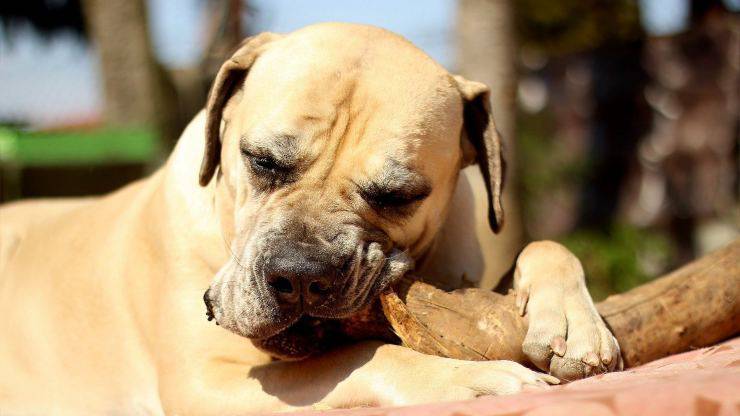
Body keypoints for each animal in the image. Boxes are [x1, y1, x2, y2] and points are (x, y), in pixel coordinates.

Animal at [0, 24, 620, 414]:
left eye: (399, 195)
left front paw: (574, 323)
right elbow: (363, 354)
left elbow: (545, 247)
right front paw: (470, 378)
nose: (300, 276)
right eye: (262, 160)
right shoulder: (204, 381)